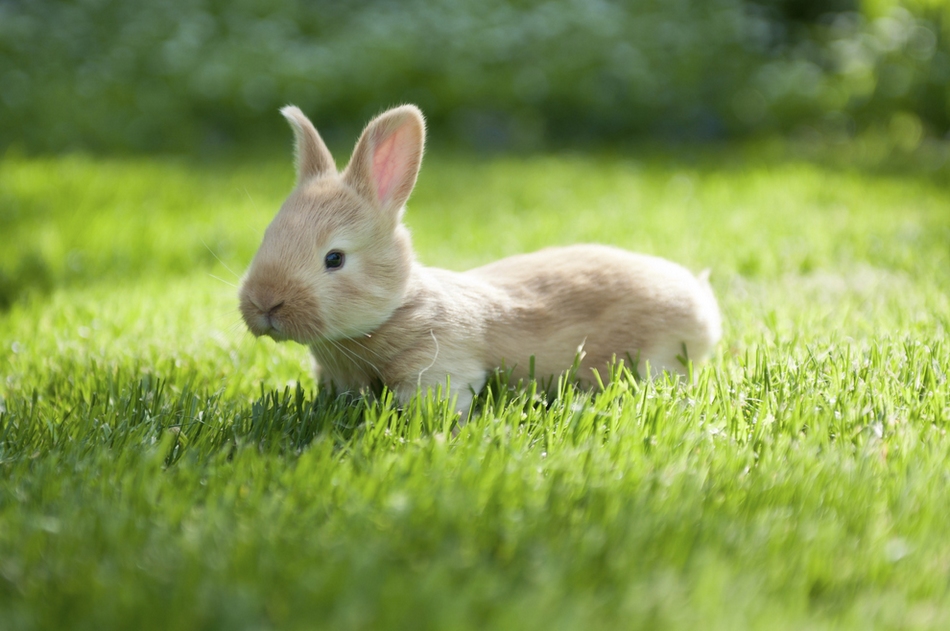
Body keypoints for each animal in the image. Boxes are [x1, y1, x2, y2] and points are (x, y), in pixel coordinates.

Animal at [238, 104, 720, 414]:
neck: (397, 307)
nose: (264, 303)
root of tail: (702, 303)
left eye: (334, 259)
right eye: (268, 235)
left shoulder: (439, 365)